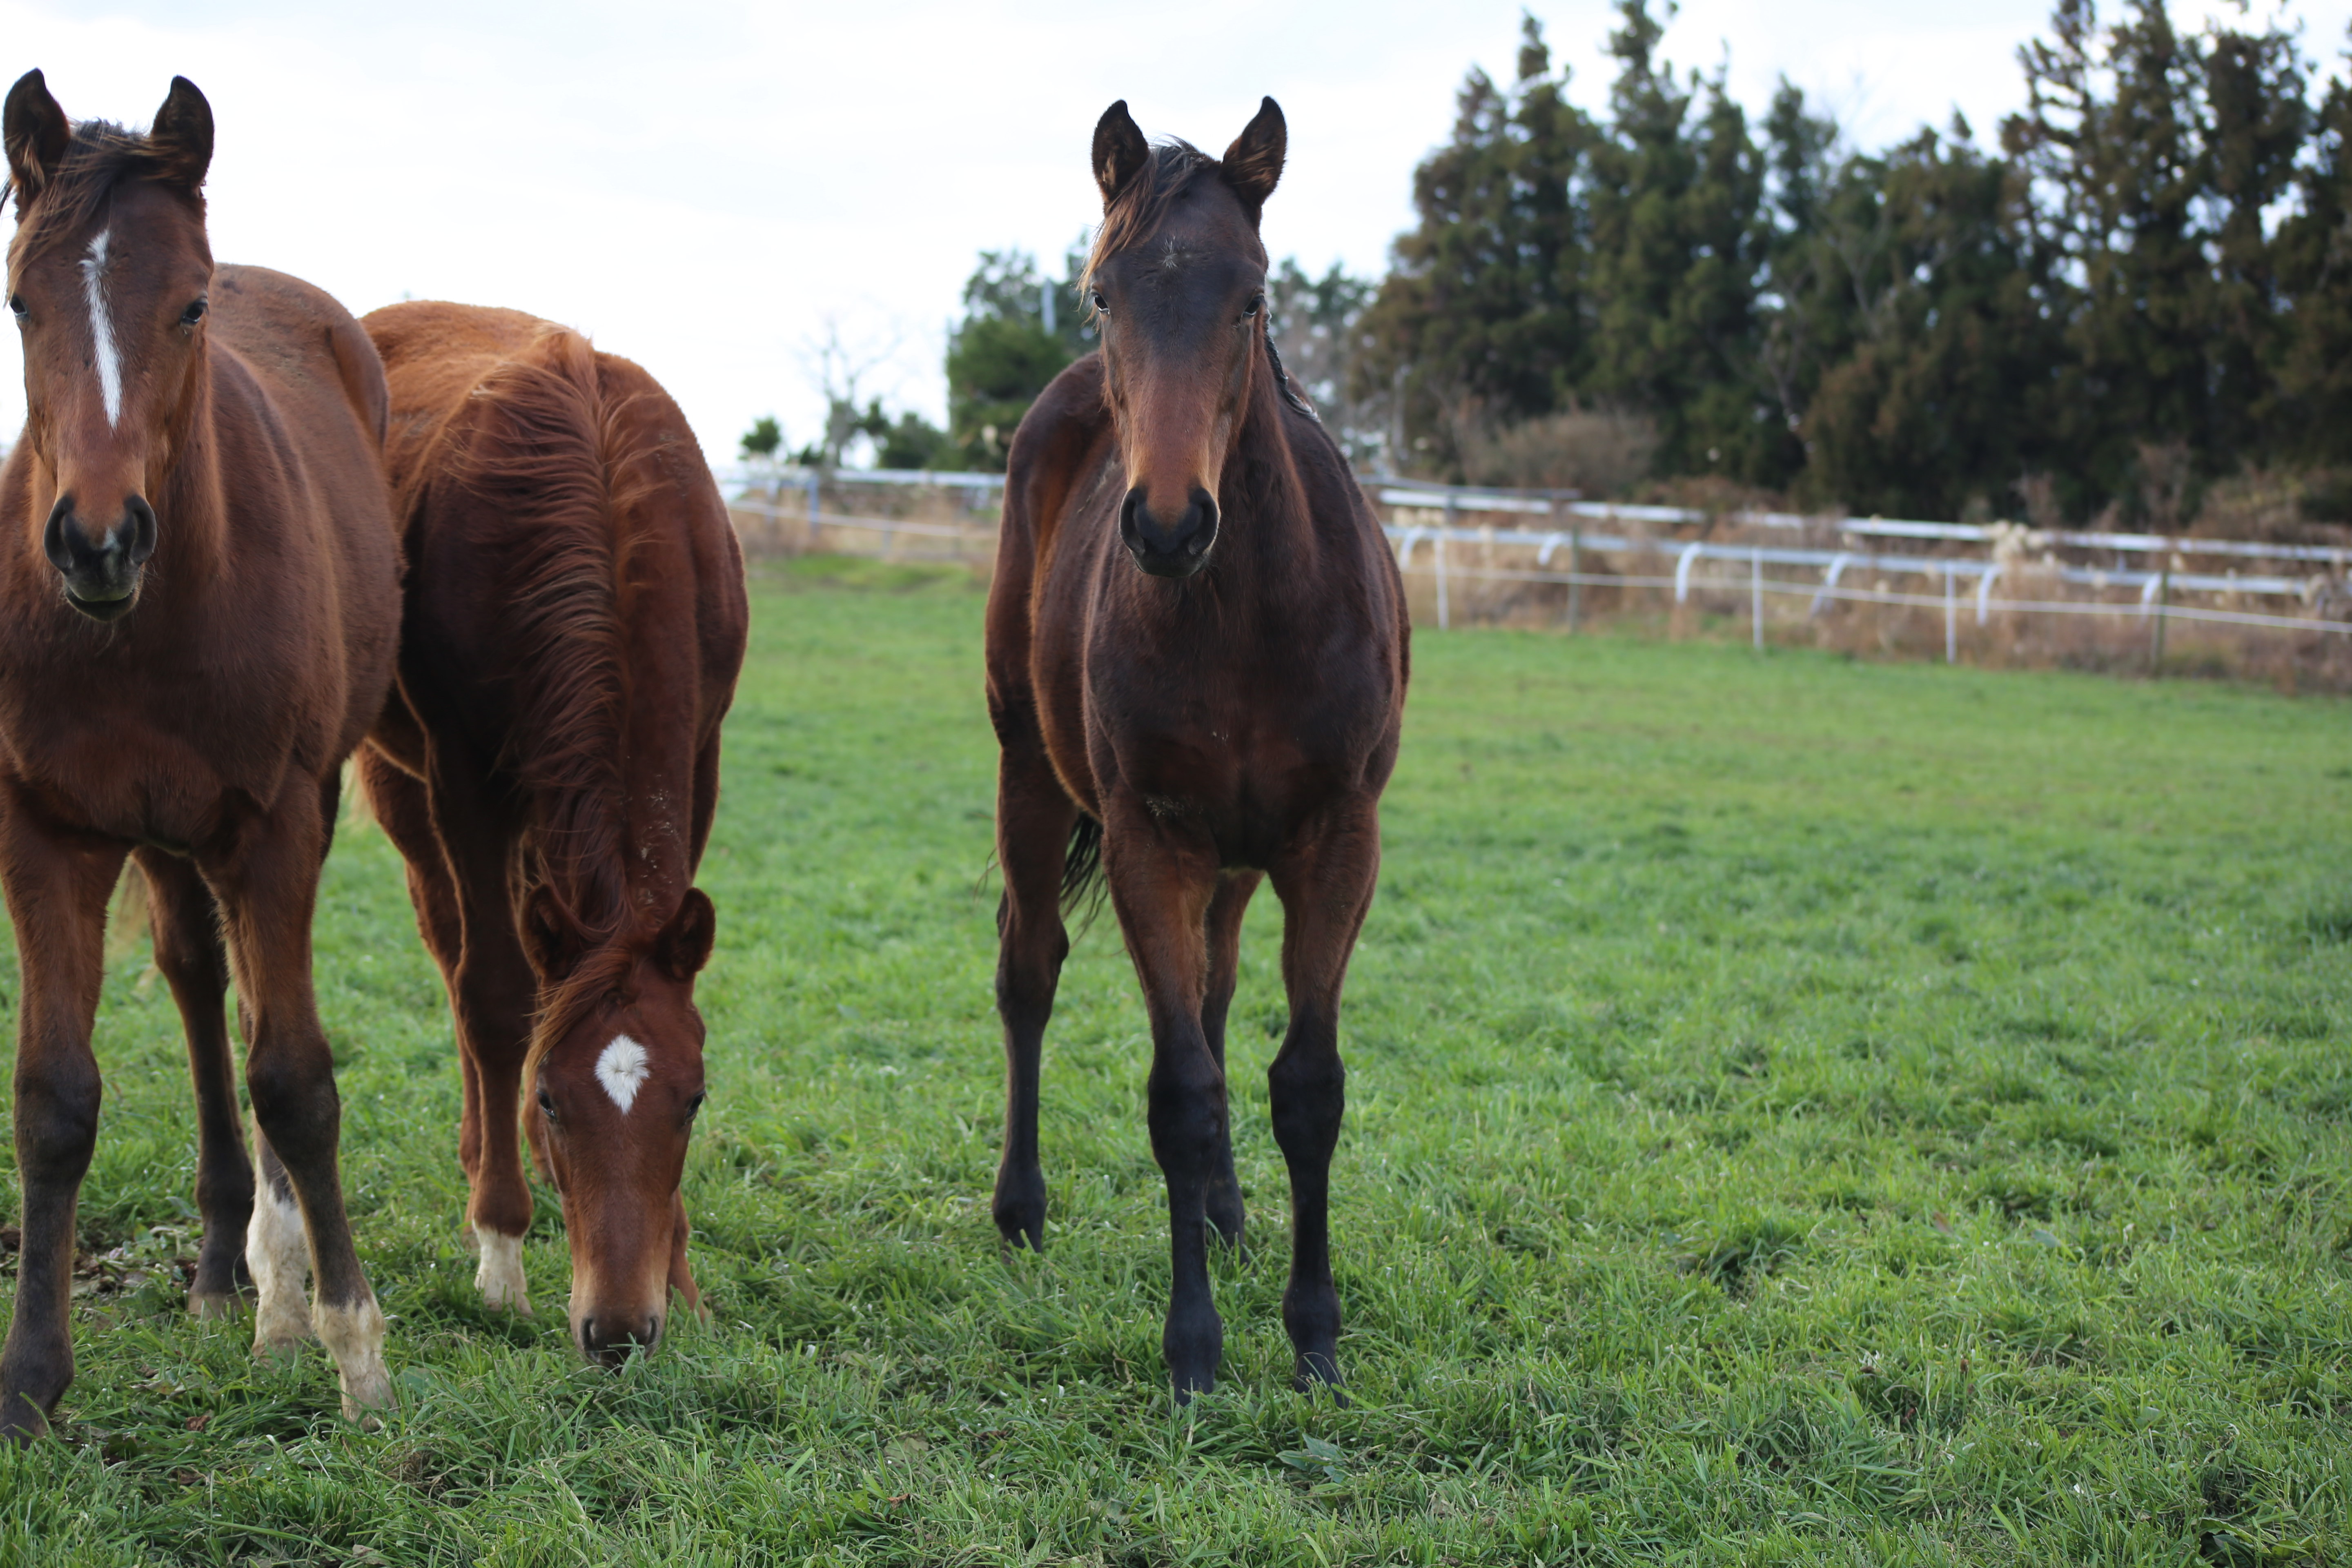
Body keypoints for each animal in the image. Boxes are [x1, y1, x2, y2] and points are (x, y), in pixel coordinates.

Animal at [0, 80, 400, 1439]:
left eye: (188, 306)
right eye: (20, 301)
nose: (96, 541)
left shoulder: (271, 823)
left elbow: (298, 1077)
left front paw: (353, 1346)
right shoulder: (52, 834)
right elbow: (55, 1100)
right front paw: (30, 1381)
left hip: (275, 814)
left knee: (260, 1012)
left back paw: (278, 1285)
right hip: (163, 833)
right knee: (193, 974)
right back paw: (232, 1262)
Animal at [350, 303, 743, 1363]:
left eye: (693, 1100)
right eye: (552, 1100)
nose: (619, 1330)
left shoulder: (699, 759)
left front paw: (685, 1279)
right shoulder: (462, 778)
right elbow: (493, 1000)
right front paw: (501, 1248)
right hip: (407, 790)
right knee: (457, 959)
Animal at [983, 98, 1401, 1401]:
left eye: (1251, 297)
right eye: (1102, 294)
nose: (1168, 524)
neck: (1250, 614)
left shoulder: (1335, 839)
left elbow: (1304, 1087)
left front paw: (1314, 1337)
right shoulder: (1147, 839)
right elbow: (1180, 1092)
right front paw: (1195, 1351)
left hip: (1235, 857)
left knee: (1216, 996)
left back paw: (1222, 1211)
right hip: (1029, 773)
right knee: (1030, 969)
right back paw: (1020, 1210)